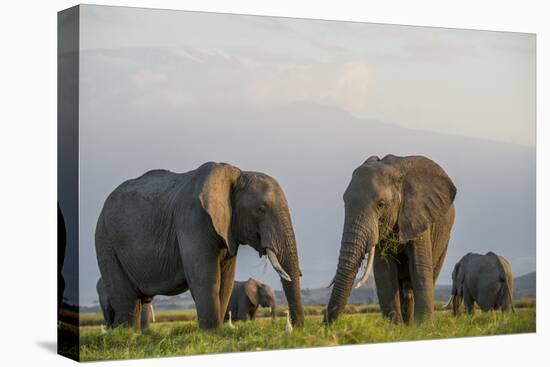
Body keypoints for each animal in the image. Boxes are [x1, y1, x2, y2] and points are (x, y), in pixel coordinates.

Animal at [92, 162, 304, 330]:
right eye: (261, 209)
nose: (296, 328)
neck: (236, 174)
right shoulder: (193, 220)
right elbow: (206, 278)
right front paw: (212, 333)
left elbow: (226, 282)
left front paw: (218, 333)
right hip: (105, 242)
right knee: (125, 298)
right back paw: (126, 335)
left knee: (137, 301)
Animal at [326, 155, 460, 324]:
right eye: (345, 202)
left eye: (381, 204)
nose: (327, 324)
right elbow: (384, 273)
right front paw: (395, 326)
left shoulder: (419, 215)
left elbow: (420, 268)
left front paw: (424, 326)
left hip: (444, 240)